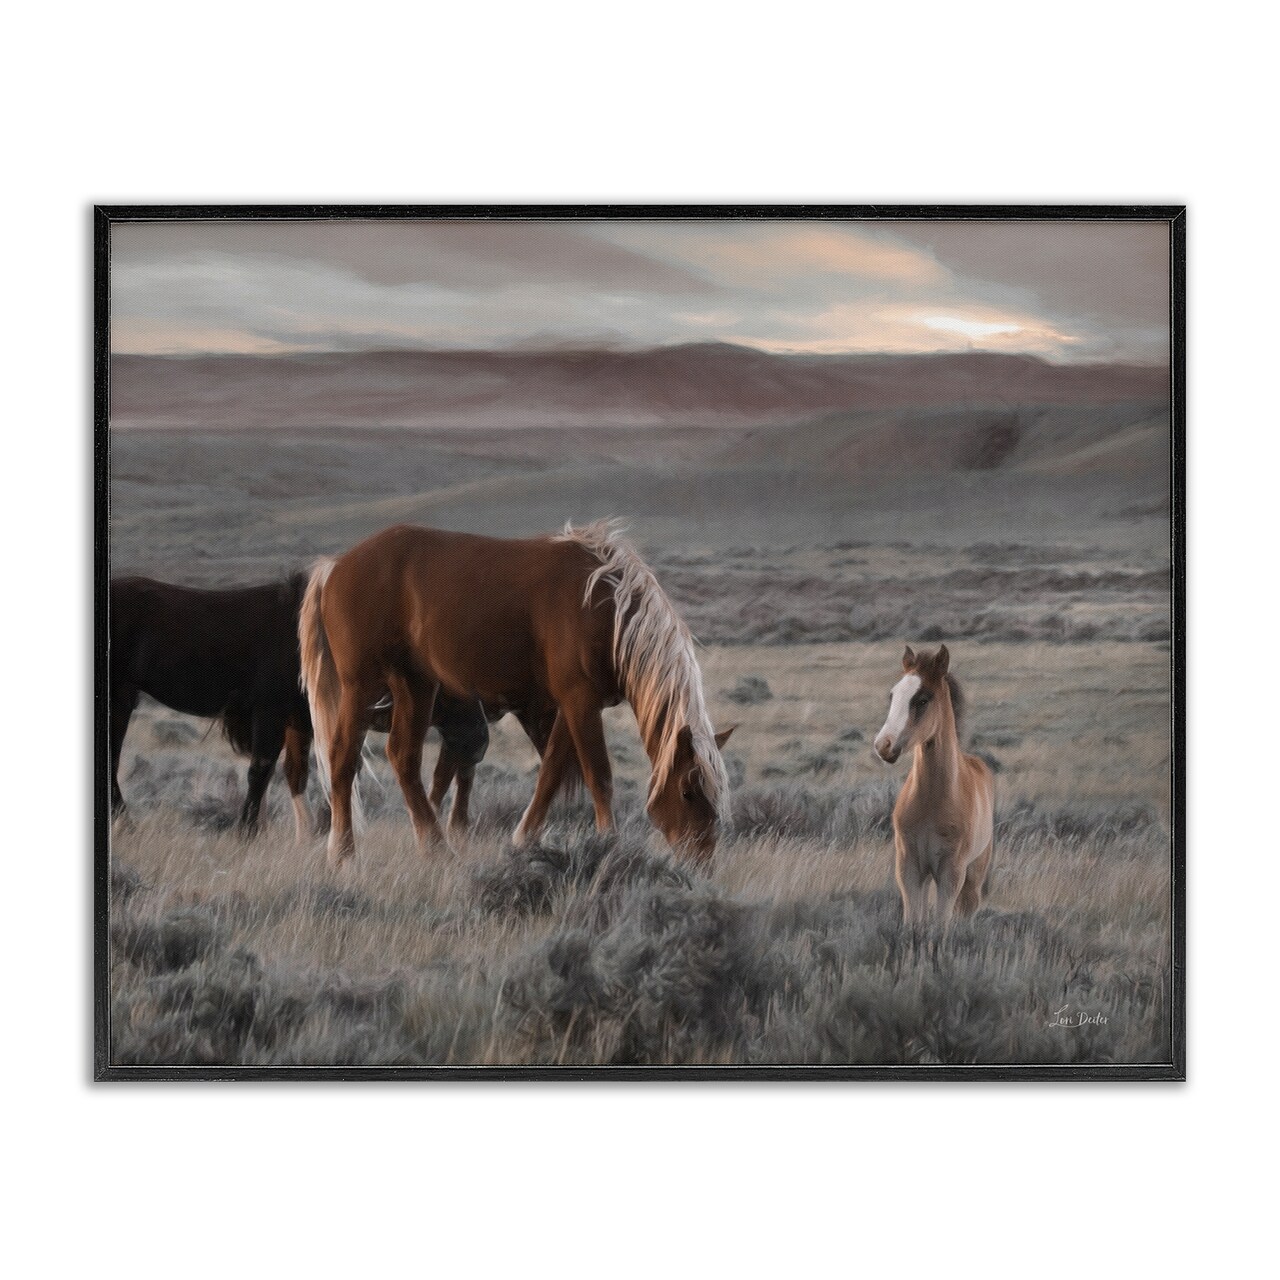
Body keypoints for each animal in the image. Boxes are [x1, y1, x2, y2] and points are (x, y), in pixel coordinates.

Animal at [110, 575, 493, 840]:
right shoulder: (270, 712)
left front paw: (308, 833)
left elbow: (298, 773)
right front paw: (249, 830)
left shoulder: (299, 720)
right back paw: (124, 823)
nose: (480, 740)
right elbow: (262, 770)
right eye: (443, 682)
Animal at [299, 520, 735, 867]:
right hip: (360, 686)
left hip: (416, 684)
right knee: (343, 759)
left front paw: (524, 839)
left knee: (403, 759)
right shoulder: (580, 701)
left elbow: (552, 772)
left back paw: (436, 848)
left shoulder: (572, 705)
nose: (702, 863)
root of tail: (336, 567)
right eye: (687, 792)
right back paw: (343, 853)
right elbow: (599, 775)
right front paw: (609, 844)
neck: (606, 609)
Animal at [873, 644, 995, 926]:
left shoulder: (951, 872)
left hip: (975, 871)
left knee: (969, 907)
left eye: (922, 700)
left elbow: (941, 924)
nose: (883, 745)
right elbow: (913, 921)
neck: (932, 800)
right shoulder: (909, 867)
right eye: (893, 694)